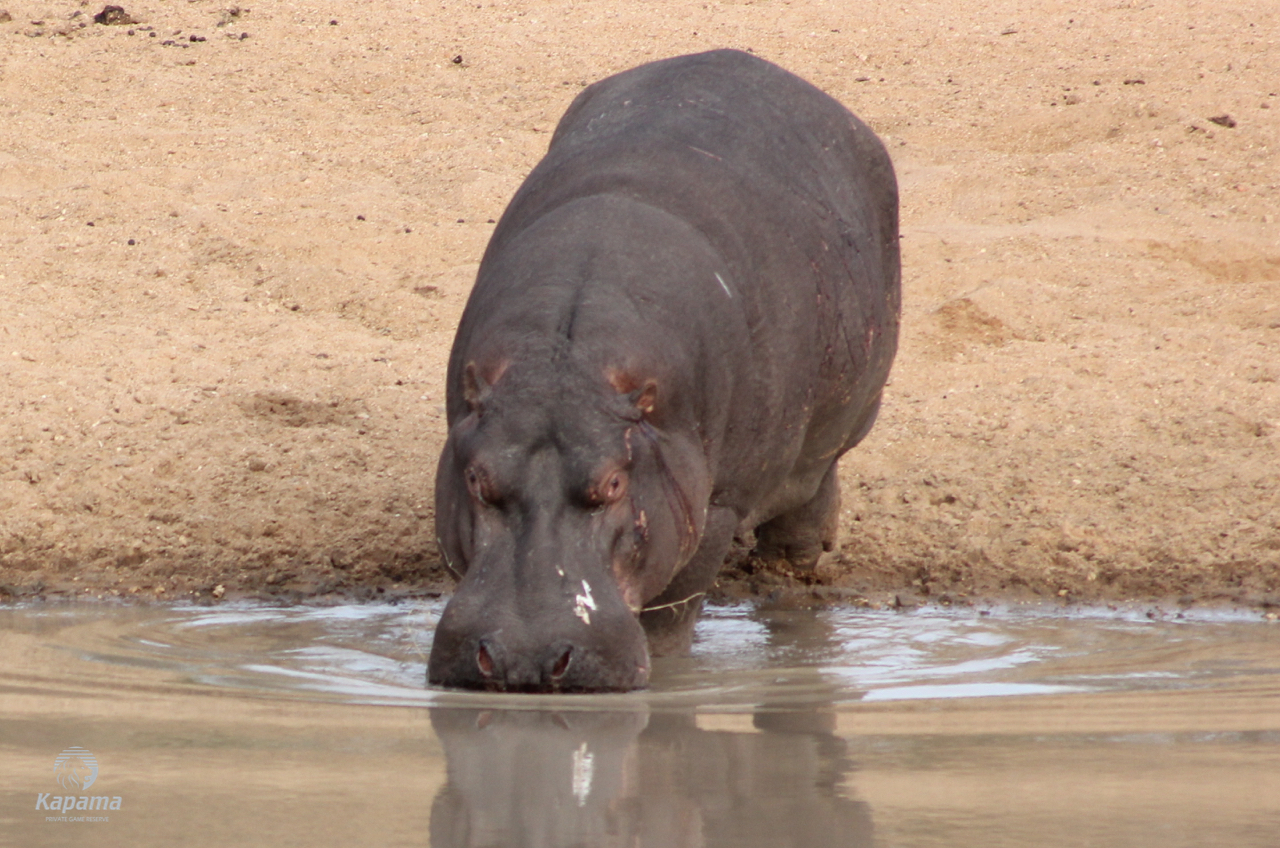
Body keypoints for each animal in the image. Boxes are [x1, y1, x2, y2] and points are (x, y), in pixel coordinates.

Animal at [428, 49, 900, 692]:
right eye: (476, 479)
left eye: (614, 484)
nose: (523, 659)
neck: (565, 363)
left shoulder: (716, 506)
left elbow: (670, 620)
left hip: (840, 422)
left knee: (807, 509)